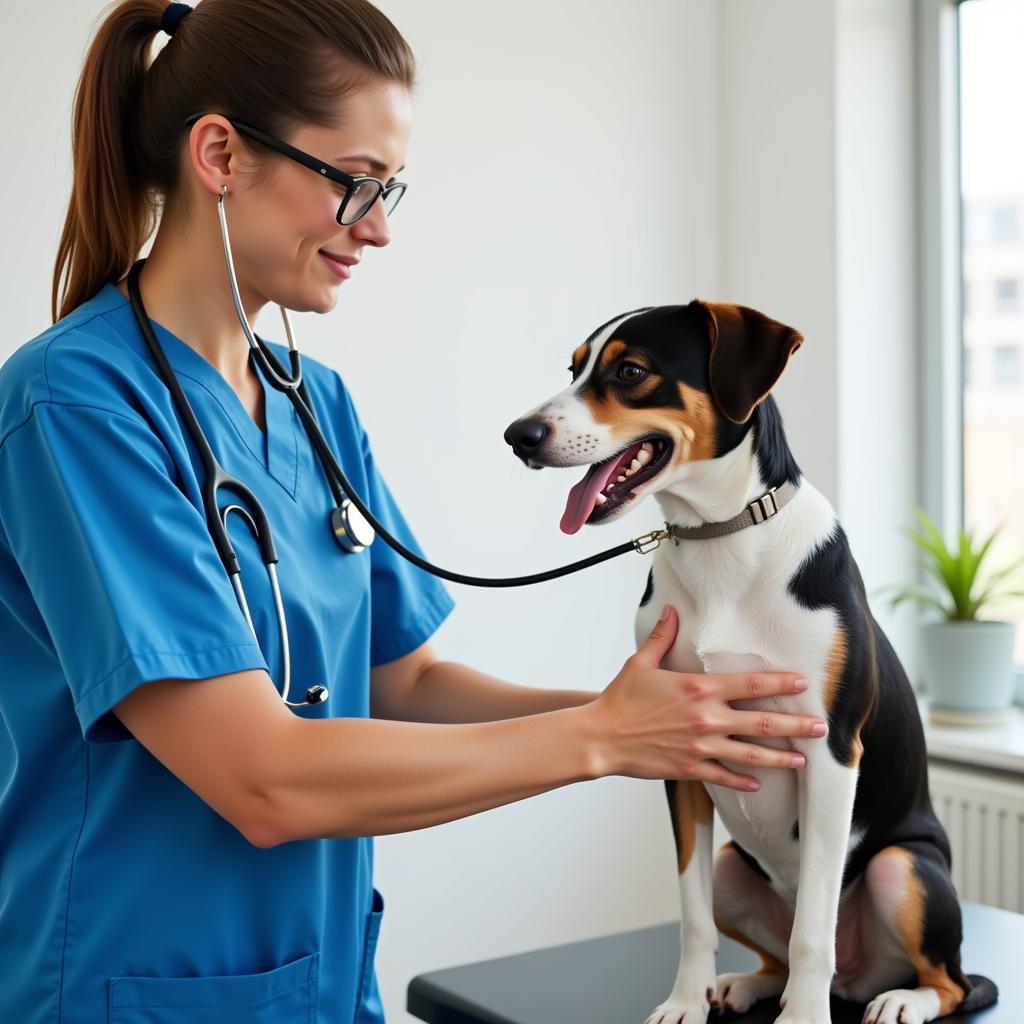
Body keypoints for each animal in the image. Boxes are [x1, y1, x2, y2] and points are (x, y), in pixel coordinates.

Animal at [503, 303, 999, 1024]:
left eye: (630, 372)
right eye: (574, 370)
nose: (519, 436)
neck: (722, 541)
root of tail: (860, 979)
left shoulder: (830, 752)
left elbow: (814, 924)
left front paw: (804, 1017)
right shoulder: (678, 752)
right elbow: (693, 916)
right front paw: (686, 1000)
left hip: (903, 868)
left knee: (951, 980)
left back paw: (901, 999)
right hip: (734, 867)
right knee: (771, 949)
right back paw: (745, 983)